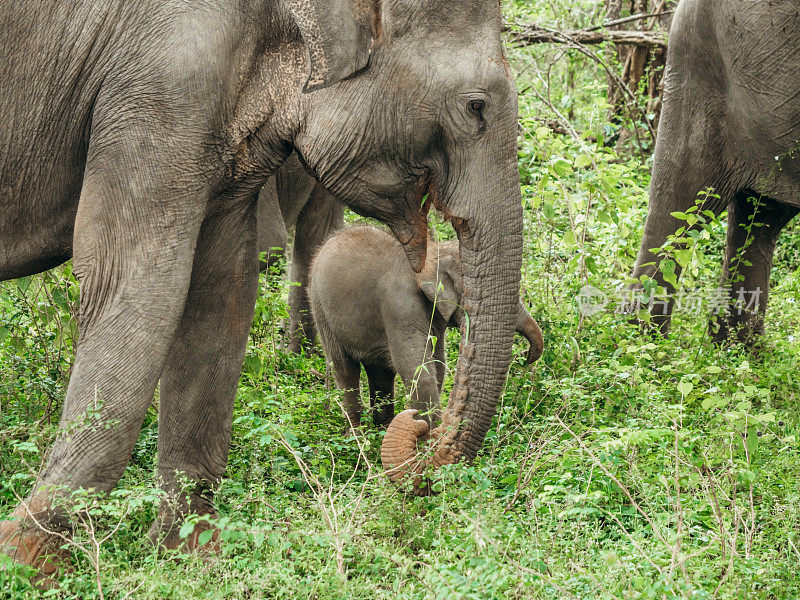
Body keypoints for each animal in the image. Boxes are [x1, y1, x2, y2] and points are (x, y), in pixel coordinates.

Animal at [306, 226, 544, 436]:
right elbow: (419, 371)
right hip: (319, 306)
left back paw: (381, 430)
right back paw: (359, 435)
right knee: (345, 367)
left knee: (381, 372)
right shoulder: (399, 305)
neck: (437, 251)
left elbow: (438, 366)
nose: (525, 356)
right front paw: (428, 442)